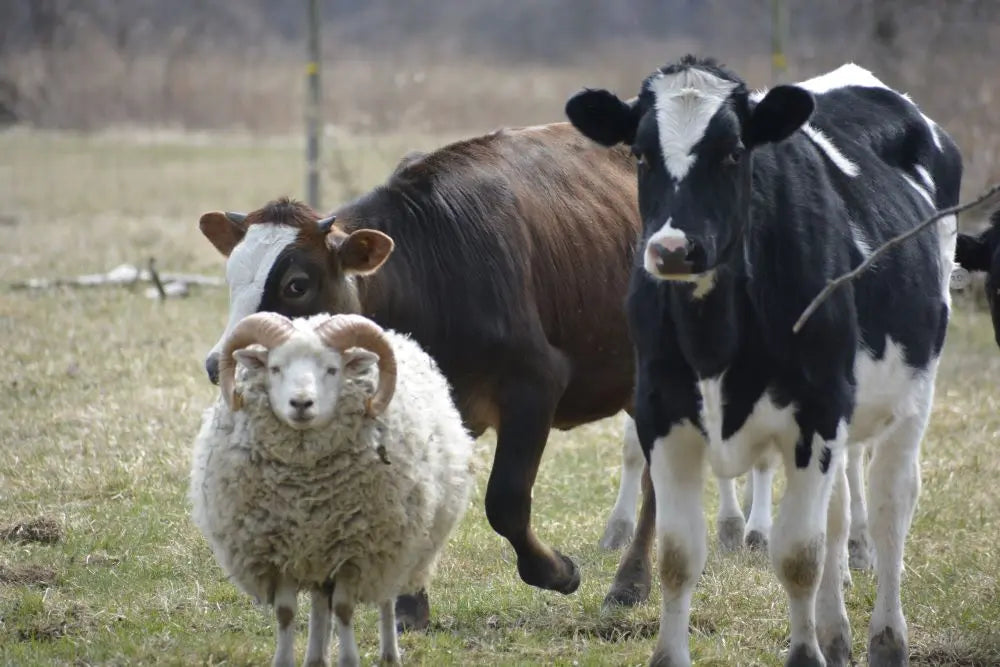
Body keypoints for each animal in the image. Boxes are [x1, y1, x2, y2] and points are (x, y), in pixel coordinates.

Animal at [190, 312, 475, 667]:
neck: (305, 490)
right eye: (275, 368)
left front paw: (349, 659)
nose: (301, 403)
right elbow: (286, 613)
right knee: (318, 602)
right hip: (318, 555)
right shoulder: (281, 551)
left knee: (384, 598)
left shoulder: (356, 553)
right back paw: (316, 656)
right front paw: (284, 661)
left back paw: (389, 653)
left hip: (394, 546)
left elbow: (343, 608)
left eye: (332, 369)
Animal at [567, 56, 963, 666]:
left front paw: (805, 653)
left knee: (890, 508)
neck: (716, 337)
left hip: (911, 398)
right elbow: (678, 556)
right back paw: (836, 632)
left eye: (734, 151)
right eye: (640, 153)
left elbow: (799, 555)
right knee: (838, 514)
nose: (674, 249)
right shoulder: (662, 415)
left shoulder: (817, 416)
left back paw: (886, 639)